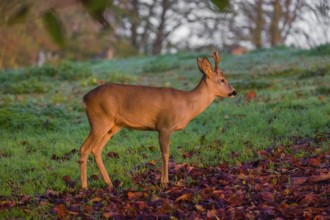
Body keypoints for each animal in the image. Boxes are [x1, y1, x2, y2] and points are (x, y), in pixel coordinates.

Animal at [78, 50, 236, 189]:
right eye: (222, 80)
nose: (234, 92)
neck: (187, 104)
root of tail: (85, 98)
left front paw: (163, 180)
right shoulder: (164, 126)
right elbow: (165, 154)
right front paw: (164, 182)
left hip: (114, 125)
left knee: (96, 149)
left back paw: (109, 183)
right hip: (99, 121)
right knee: (84, 148)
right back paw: (85, 186)